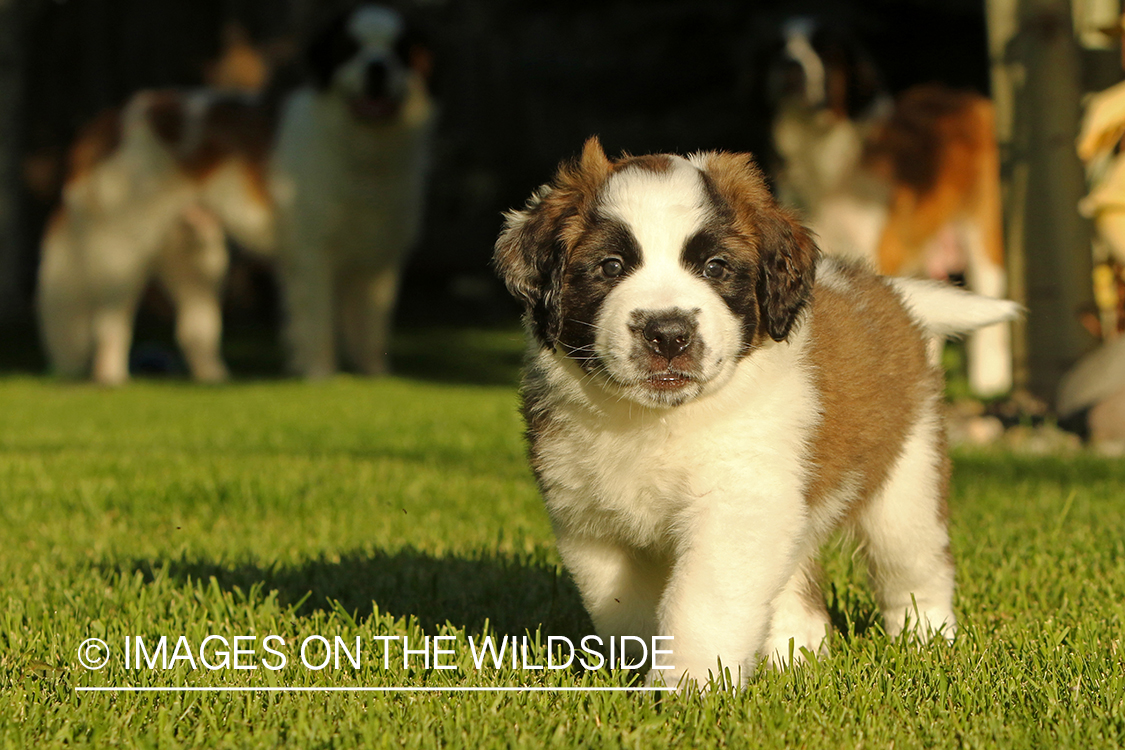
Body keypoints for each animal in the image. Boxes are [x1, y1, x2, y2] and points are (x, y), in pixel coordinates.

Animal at [267, 4, 434, 382]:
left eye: (398, 49)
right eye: (349, 48)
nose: (377, 67)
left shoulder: (380, 255)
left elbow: (371, 328)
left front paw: (375, 376)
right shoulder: (313, 251)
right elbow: (318, 325)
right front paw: (319, 375)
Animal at [492, 137, 1021, 688]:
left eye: (715, 268)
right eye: (611, 267)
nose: (667, 334)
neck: (658, 421)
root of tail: (888, 293)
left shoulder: (738, 504)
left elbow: (702, 603)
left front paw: (687, 688)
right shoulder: (591, 522)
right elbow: (625, 608)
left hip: (908, 481)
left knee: (914, 567)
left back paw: (928, 641)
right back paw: (799, 655)